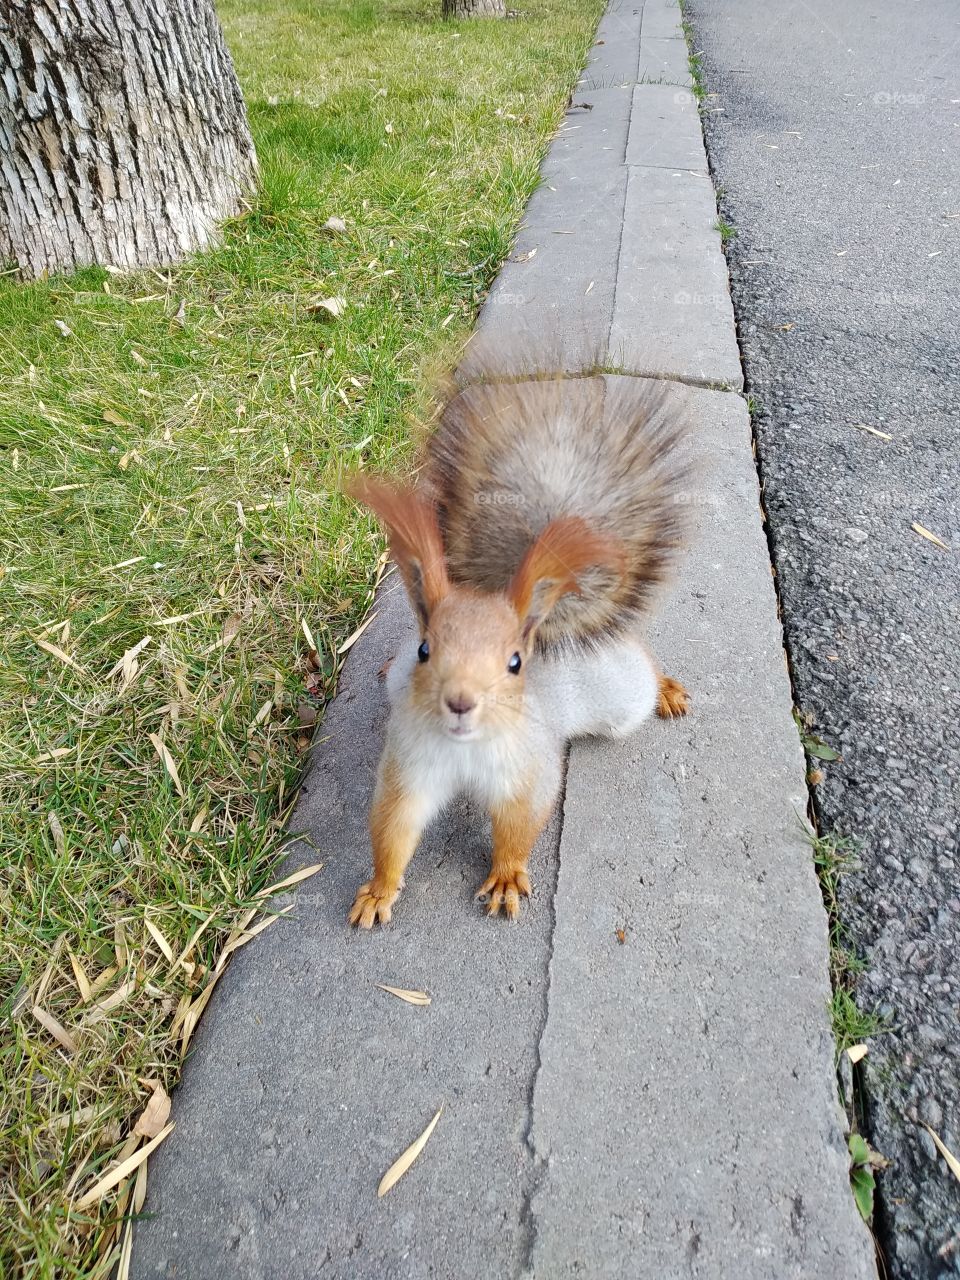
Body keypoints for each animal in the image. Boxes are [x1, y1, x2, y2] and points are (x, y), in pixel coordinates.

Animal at [347, 375, 690, 928]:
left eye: (514, 663)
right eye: (425, 649)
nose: (461, 701)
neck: (466, 749)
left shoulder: (528, 767)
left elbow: (519, 824)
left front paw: (506, 876)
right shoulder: (410, 766)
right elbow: (393, 827)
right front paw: (379, 890)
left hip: (616, 691)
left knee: (640, 672)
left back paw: (666, 689)